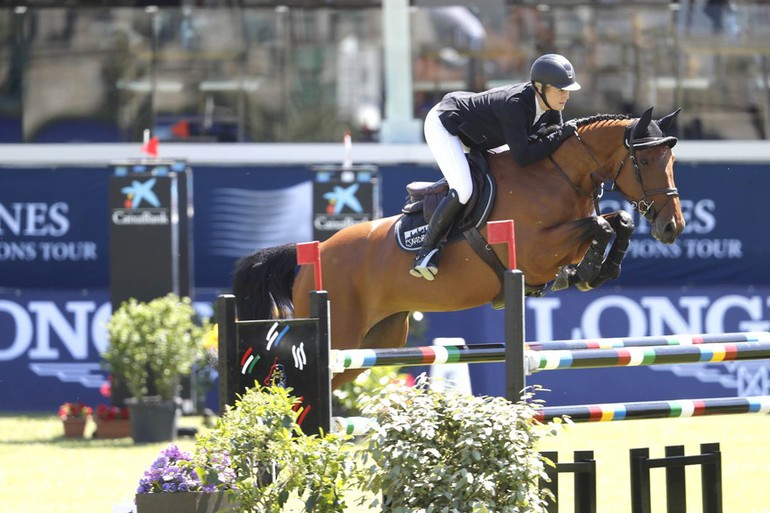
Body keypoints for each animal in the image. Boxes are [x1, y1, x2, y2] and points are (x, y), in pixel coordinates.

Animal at [234, 108, 684, 388]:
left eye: (672, 161)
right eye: (644, 162)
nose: (672, 227)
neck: (559, 174)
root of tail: (312, 252)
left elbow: (617, 222)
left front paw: (599, 270)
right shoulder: (535, 250)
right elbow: (597, 226)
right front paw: (588, 272)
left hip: (373, 342)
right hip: (340, 335)